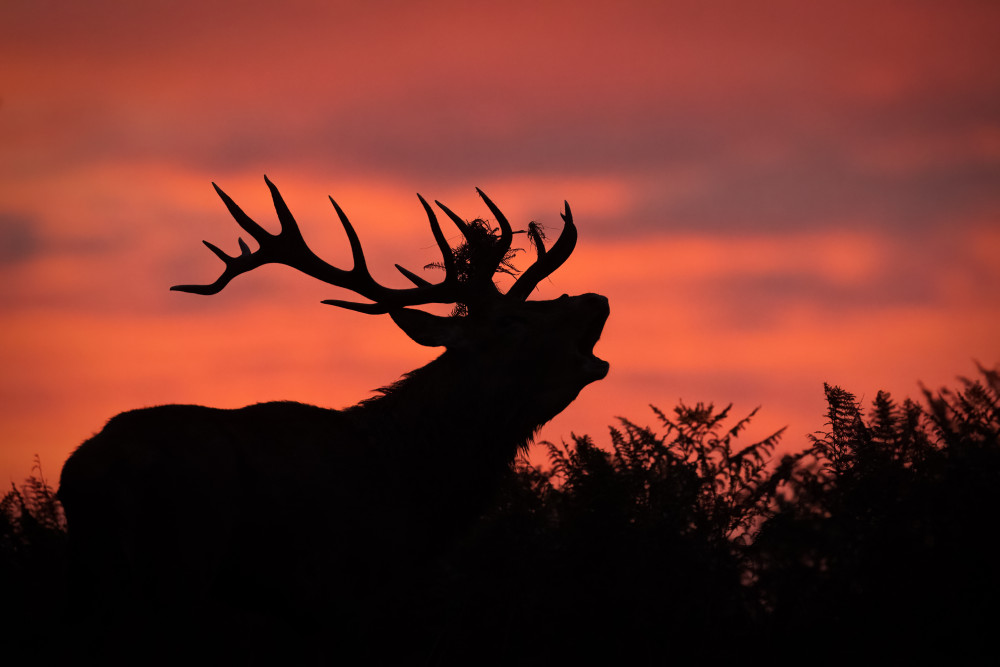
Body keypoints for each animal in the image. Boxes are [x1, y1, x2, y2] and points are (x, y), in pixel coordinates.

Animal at [60, 177, 608, 664]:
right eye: (511, 321)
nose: (595, 299)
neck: (410, 496)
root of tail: (89, 471)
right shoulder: (339, 598)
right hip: (180, 563)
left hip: (93, 579)